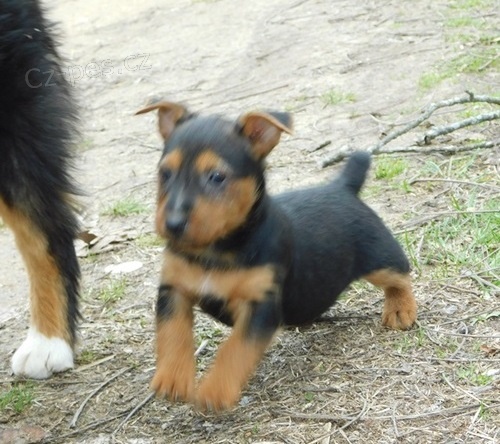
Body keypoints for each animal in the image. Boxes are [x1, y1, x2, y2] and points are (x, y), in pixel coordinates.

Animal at [137, 100, 418, 410]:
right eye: (165, 173)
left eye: (217, 177)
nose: (173, 224)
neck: (217, 248)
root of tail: (342, 186)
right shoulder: (173, 290)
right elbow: (171, 332)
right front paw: (173, 377)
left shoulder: (262, 306)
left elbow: (236, 348)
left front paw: (216, 389)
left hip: (379, 257)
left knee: (401, 274)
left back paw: (400, 309)